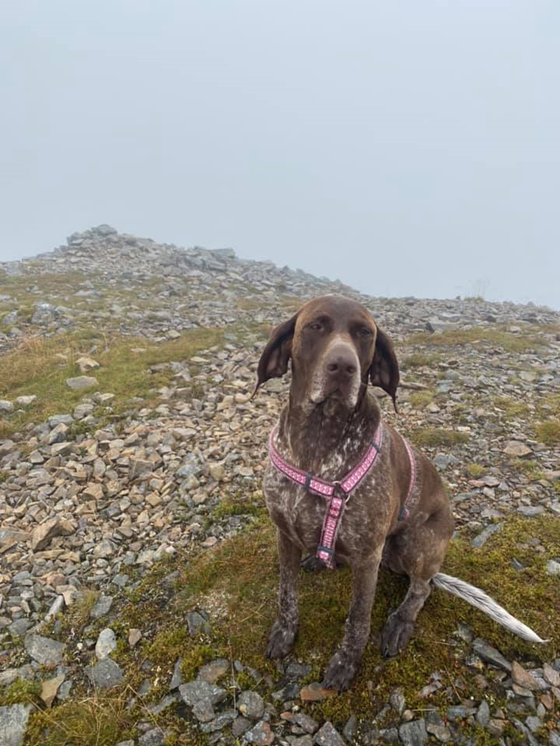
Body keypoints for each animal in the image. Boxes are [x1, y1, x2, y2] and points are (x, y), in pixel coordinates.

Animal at [255, 295, 545, 691]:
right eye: (316, 326)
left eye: (365, 333)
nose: (343, 367)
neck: (318, 445)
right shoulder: (284, 535)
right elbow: (287, 594)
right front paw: (285, 633)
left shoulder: (367, 557)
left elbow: (358, 618)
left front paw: (346, 663)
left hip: (413, 545)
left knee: (422, 589)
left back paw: (399, 621)